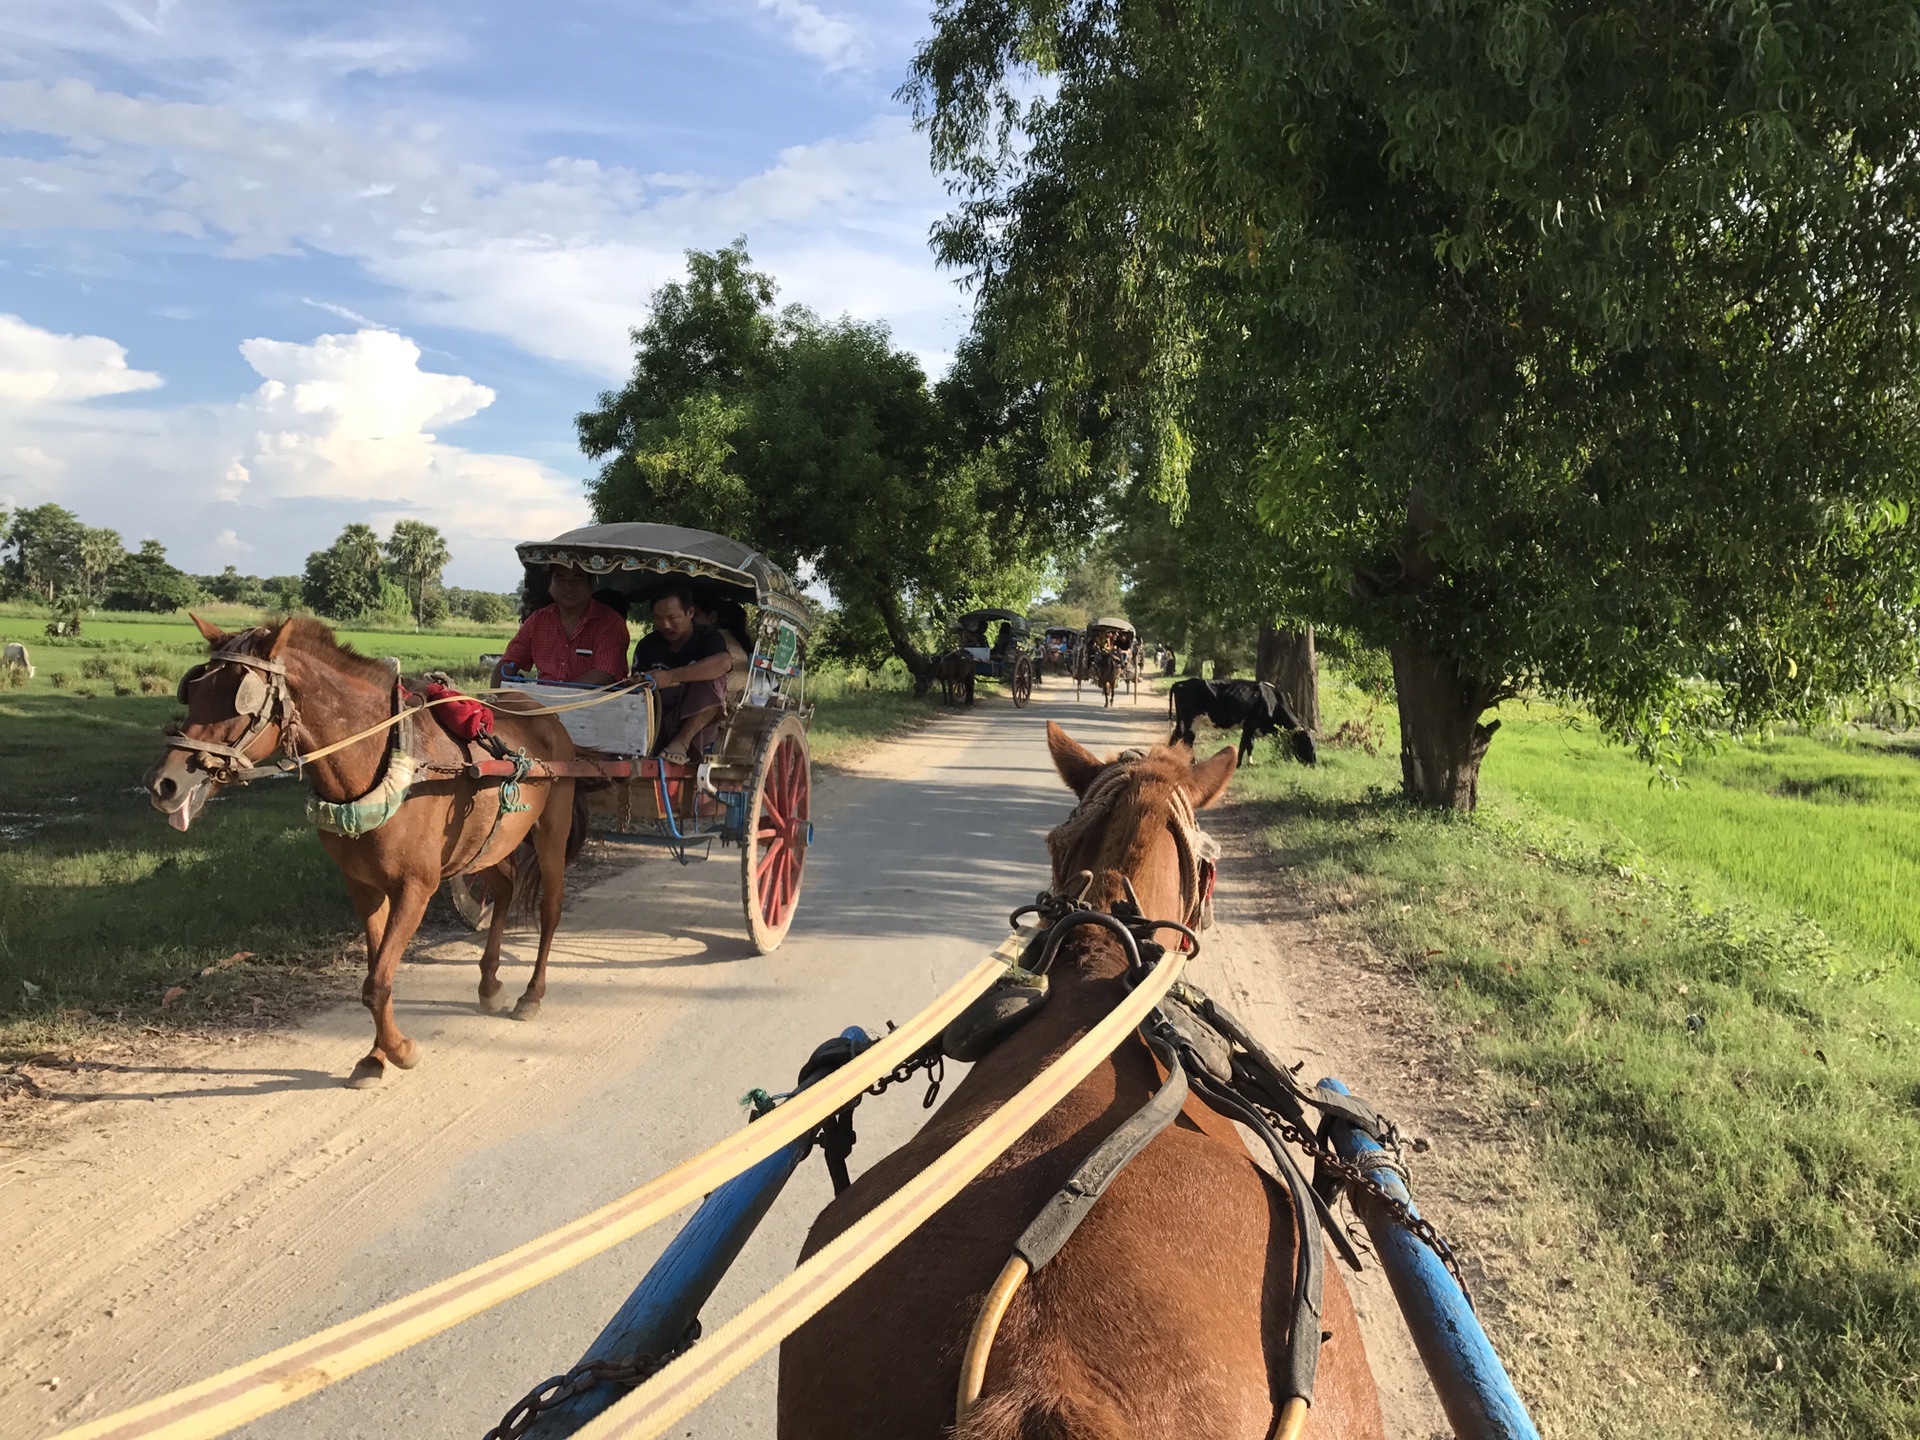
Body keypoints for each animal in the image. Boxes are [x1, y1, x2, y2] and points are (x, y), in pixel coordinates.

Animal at [144, 614, 583, 1090]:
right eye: (195, 691)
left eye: (239, 700)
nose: (163, 784)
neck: (380, 761)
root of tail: (544, 715)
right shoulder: (363, 885)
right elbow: (376, 973)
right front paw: (376, 1056)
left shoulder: (416, 887)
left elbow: (377, 982)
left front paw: (401, 1050)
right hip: (489, 841)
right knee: (503, 889)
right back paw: (489, 984)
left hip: (551, 829)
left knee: (550, 909)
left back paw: (532, 993)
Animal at [1167, 675, 1320, 768]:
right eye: (1307, 744)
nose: (1314, 763)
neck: (1272, 701)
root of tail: (1181, 683)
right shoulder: (1249, 725)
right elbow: (1243, 745)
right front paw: (1237, 764)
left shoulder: (1252, 728)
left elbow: (1249, 745)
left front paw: (1250, 762)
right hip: (1190, 720)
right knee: (1186, 740)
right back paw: (1191, 762)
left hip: (1185, 720)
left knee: (1177, 737)